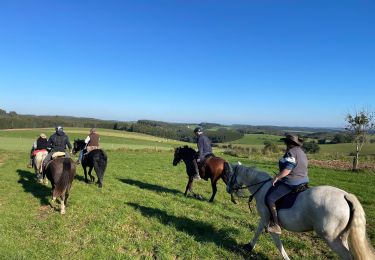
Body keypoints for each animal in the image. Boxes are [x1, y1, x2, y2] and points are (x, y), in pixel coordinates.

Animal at [226, 165, 375, 260]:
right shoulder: (264, 219)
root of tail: (345, 196)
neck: (262, 187)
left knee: (347, 256)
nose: (228, 189)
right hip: (341, 237)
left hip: (331, 239)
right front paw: (249, 246)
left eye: (231, 175)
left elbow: (275, 241)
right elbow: (258, 232)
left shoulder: (267, 218)